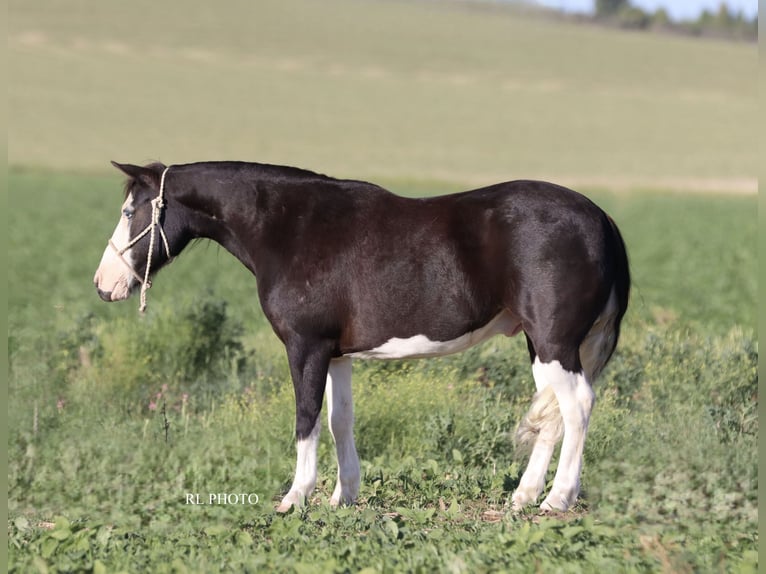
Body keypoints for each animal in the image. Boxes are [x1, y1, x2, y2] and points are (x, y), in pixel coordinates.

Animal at [93, 160, 629, 513]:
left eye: (129, 212)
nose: (103, 285)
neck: (292, 228)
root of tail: (602, 218)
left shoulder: (305, 347)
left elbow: (306, 418)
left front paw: (295, 498)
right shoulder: (336, 355)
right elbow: (339, 421)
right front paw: (342, 497)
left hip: (556, 345)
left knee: (578, 406)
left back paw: (557, 500)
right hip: (542, 346)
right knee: (553, 414)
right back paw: (523, 497)